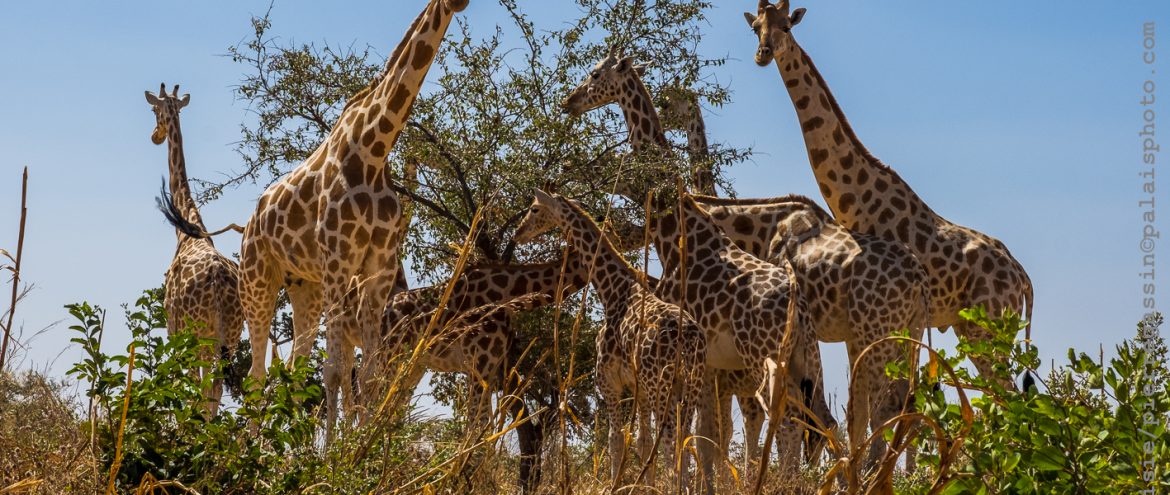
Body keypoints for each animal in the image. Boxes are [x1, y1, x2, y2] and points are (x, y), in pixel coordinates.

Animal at [147, 83, 245, 416]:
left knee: (202, 388)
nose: (155, 136)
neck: (187, 227)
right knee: (218, 386)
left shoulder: (174, 328)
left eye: (154, 109)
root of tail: (216, 281)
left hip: (200, 333)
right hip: (231, 334)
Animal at [163, 0, 470, 435]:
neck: (374, 153)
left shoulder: (377, 270)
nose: (459, 3)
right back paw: (247, 450)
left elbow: (368, 376)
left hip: (304, 289)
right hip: (257, 283)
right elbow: (336, 373)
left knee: (288, 371)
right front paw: (337, 452)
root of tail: (247, 224)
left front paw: (365, 448)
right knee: (255, 375)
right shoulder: (340, 263)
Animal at [514, 190, 702, 491]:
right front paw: (642, 488)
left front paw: (615, 486)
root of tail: (689, 341)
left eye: (534, 209)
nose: (517, 234)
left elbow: (615, 441)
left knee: (671, 441)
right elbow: (642, 441)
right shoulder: (639, 388)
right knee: (684, 440)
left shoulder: (609, 382)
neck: (612, 291)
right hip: (691, 385)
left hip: (664, 386)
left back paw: (677, 486)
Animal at [748, 0, 1034, 388]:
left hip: (988, 329)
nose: (763, 54)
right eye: (756, 27)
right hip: (970, 328)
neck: (856, 198)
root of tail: (1023, 279)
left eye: (786, 27)